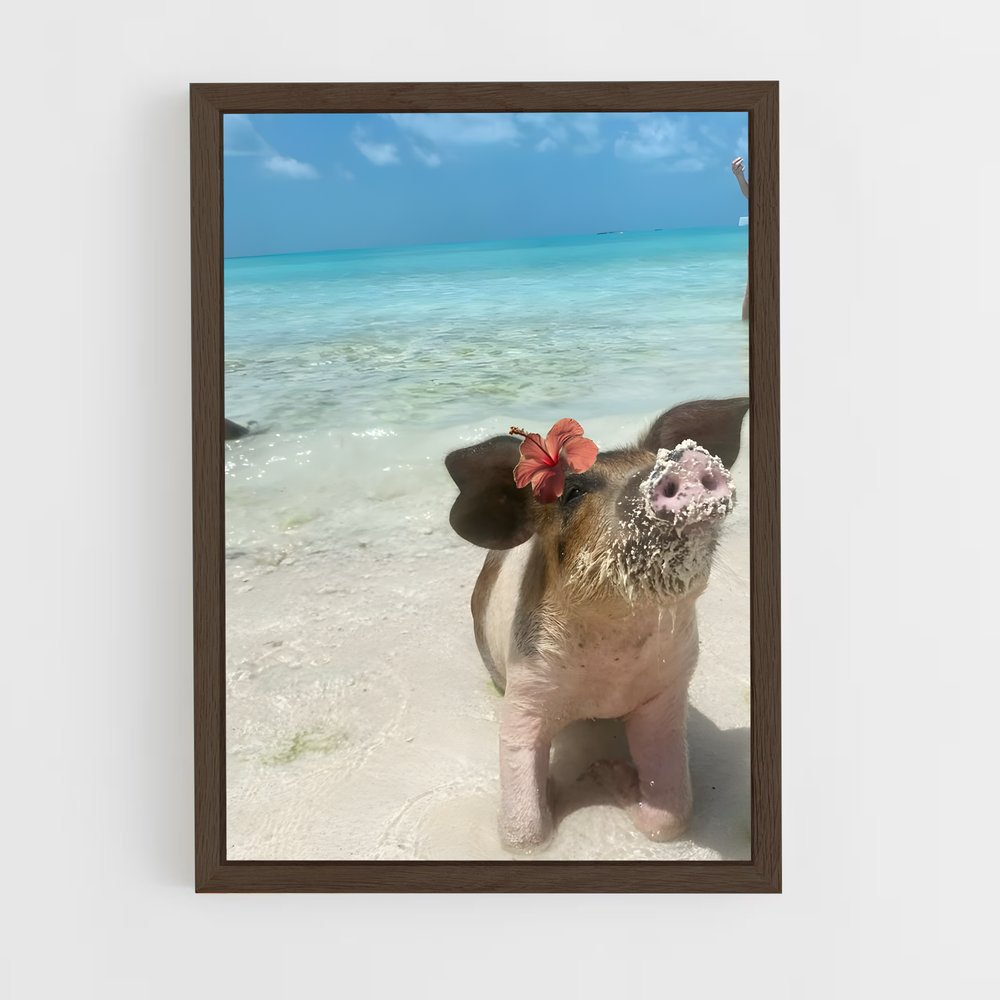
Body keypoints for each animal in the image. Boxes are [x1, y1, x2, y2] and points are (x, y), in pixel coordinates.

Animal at [445, 397, 749, 850]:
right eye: (573, 492)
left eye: (659, 458)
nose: (682, 465)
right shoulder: (525, 689)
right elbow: (523, 832)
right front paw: (561, 787)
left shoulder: (668, 688)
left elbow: (672, 816)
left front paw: (606, 770)